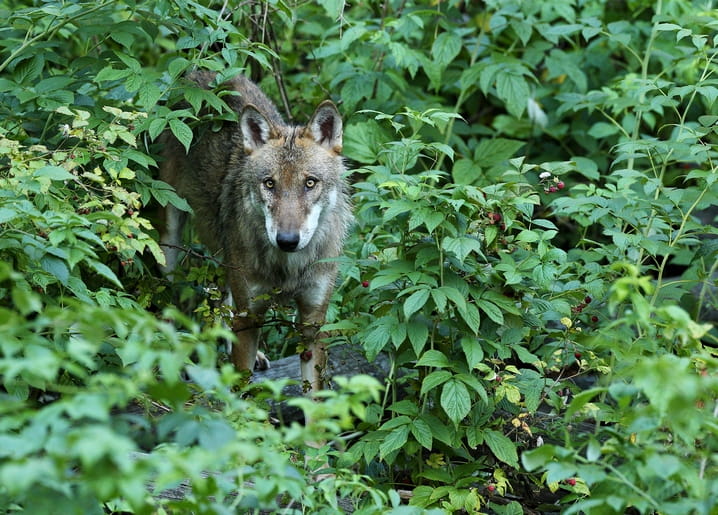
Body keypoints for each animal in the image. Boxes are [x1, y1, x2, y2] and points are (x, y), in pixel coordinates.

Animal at [159, 71, 352, 392]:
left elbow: (314, 398)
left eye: (310, 183)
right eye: (269, 184)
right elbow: (241, 393)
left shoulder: (312, 322)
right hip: (169, 244)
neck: (288, 267)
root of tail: (199, 74)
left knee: (223, 301)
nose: (287, 240)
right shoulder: (250, 317)